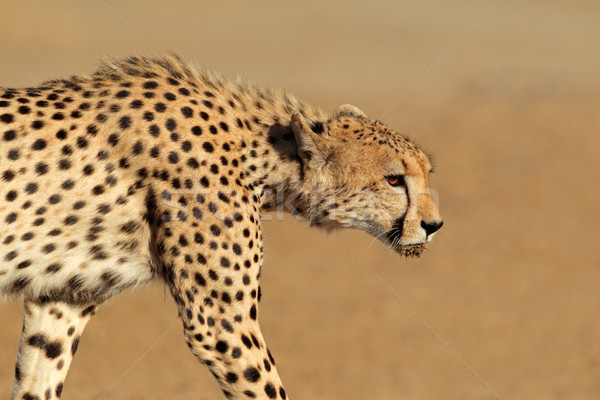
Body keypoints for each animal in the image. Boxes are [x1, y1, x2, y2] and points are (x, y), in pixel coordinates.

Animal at [0, 54, 440, 400]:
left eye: (426, 172)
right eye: (394, 180)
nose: (434, 225)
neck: (260, 154)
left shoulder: (62, 298)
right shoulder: (220, 322)